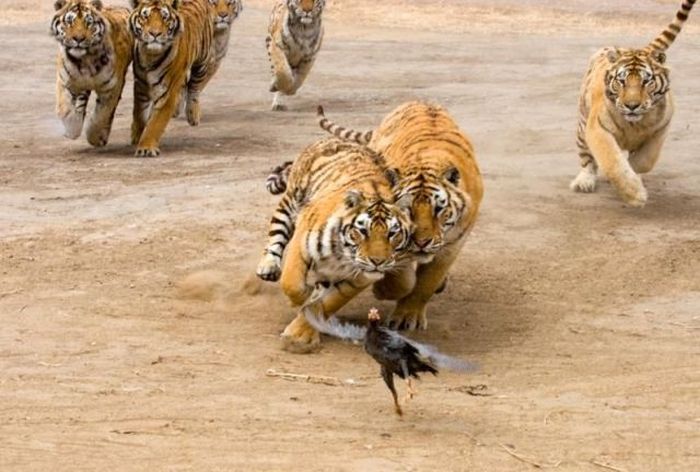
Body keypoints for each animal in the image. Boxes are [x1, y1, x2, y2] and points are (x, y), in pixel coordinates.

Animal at [50, 0, 133, 148]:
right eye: (69, 22)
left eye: (88, 22)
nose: (78, 39)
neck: (85, 60)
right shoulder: (65, 81)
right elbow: (65, 109)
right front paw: (72, 129)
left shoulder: (112, 88)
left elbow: (102, 115)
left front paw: (95, 138)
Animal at [129, 0, 213, 159]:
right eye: (145, 17)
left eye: (164, 17)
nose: (155, 33)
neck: (150, 55)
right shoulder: (140, 88)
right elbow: (139, 115)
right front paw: (136, 136)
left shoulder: (167, 94)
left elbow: (156, 123)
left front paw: (146, 148)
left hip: (203, 63)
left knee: (194, 87)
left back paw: (192, 114)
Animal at [256, 136, 410, 350]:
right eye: (363, 231)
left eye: (392, 233)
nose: (378, 262)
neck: (342, 254)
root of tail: (334, 138)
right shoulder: (301, 243)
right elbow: (292, 283)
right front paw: (301, 300)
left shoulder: (359, 279)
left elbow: (331, 302)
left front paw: (302, 331)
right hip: (291, 202)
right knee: (276, 232)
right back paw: (268, 266)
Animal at [320, 102, 484, 332]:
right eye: (407, 209)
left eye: (438, 209)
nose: (422, 242)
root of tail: (420, 101)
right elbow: (402, 281)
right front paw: (382, 291)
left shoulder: (453, 245)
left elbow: (426, 282)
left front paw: (408, 316)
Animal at [572, 0, 696, 206]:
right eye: (621, 81)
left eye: (646, 81)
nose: (632, 105)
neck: (634, 124)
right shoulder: (597, 128)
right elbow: (612, 161)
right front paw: (635, 195)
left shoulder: (661, 128)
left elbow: (646, 159)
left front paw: (634, 173)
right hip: (582, 124)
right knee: (586, 157)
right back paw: (584, 182)